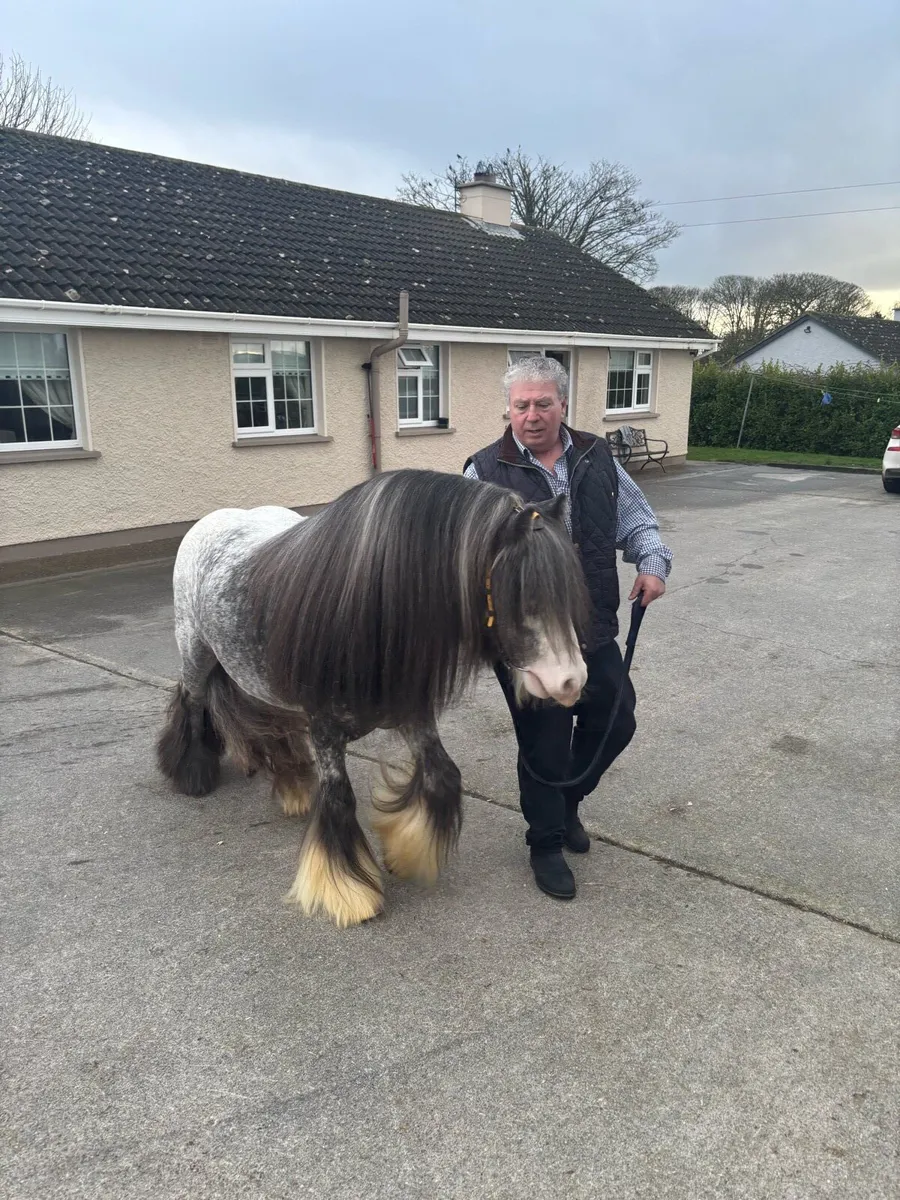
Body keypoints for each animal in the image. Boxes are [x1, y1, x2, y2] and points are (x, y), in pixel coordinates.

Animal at [156, 468, 589, 928]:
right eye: (522, 592)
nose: (571, 681)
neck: (367, 609)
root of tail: (211, 522)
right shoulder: (325, 729)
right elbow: (339, 797)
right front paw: (349, 892)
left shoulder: (413, 714)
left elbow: (442, 775)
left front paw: (406, 853)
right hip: (196, 654)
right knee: (192, 702)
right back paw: (191, 773)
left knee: (272, 727)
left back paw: (292, 785)